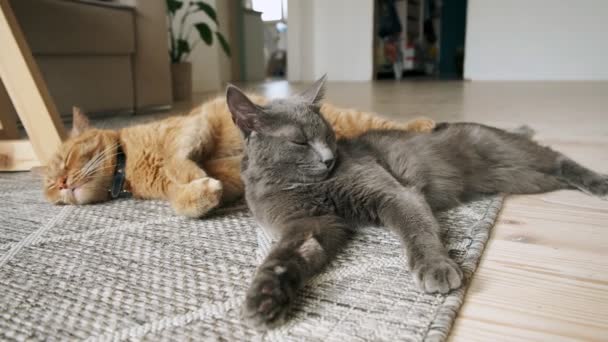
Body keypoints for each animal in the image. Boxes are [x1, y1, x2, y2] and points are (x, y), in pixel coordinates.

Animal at [44, 88, 432, 216]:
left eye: (63, 161)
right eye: (48, 186)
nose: (60, 184)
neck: (129, 165)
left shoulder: (192, 125)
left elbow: (176, 158)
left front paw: (193, 176)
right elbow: (181, 200)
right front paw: (199, 194)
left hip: (353, 120)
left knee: (386, 122)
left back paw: (426, 123)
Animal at [227, 75, 608, 328]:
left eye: (329, 136)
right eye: (300, 142)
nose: (329, 159)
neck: (297, 185)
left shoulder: (391, 193)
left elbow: (417, 231)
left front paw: (435, 268)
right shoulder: (309, 223)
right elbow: (283, 257)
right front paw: (263, 299)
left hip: (514, 157)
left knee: (558, 158)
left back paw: (598, 183)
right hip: (524, 178)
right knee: (553, 170)